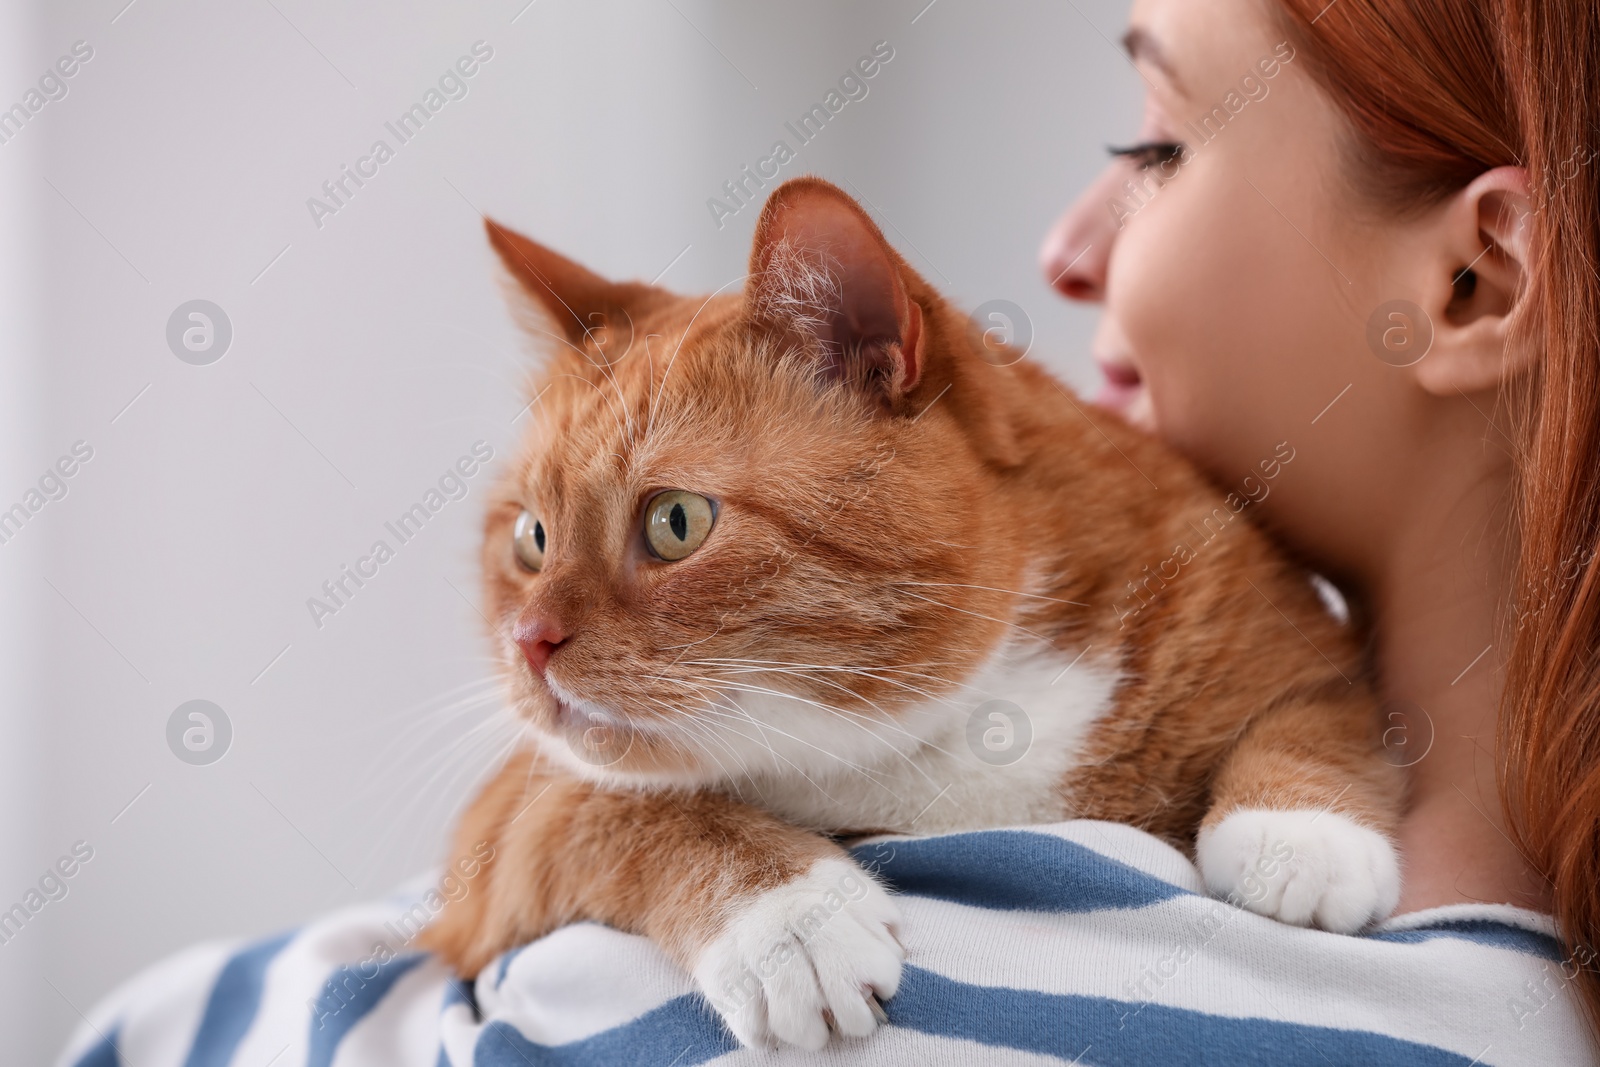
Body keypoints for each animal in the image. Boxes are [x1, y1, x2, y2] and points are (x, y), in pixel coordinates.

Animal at [422, 175, 1401, 1049]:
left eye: (676, 522)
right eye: (532, 537)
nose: (529, 642)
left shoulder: (1288, 633)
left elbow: (1311, 715)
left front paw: (1298, 836)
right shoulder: (498, 836)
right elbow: (618, 806)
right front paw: (788, 922)